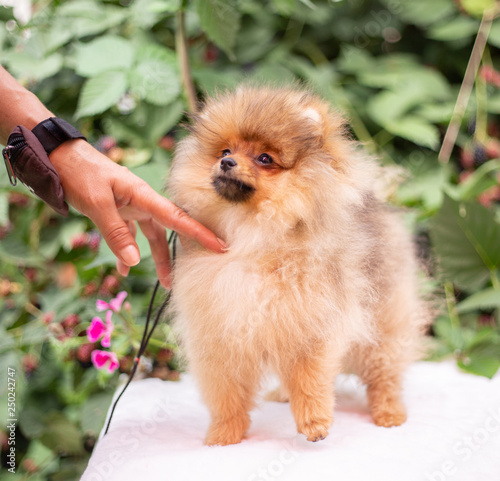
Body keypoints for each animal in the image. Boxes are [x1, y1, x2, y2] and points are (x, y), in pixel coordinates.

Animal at [169, 84, 430, 444]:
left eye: (265, 158)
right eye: (225, 149)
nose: (226, 162)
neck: (248, 233)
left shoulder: (311, 322)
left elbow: (310, 378)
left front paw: (314, 421)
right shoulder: (221, 332)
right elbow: (227, 392)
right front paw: (224, 434)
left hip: (384, 317)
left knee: (384, 369)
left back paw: (389, 411)